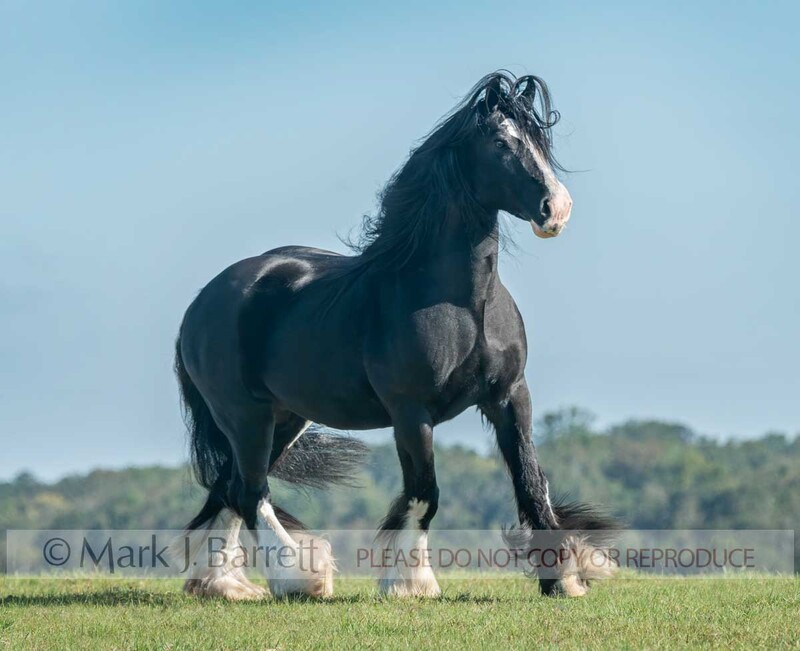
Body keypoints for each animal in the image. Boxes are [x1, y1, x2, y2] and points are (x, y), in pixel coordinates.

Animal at [175, 71, 616, 600]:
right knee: (249, 491)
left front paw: (564, 576)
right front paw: (411, 582)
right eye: (499, 142)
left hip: (284, 417)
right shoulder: (410, 412)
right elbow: (425, 494)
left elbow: (531, 484)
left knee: (230, 489)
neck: (465, 306)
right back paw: (298, 578)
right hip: (245, 416)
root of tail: (201, 304)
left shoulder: (510, 396)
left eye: (539, 141)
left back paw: (224, 583)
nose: (557, 209)